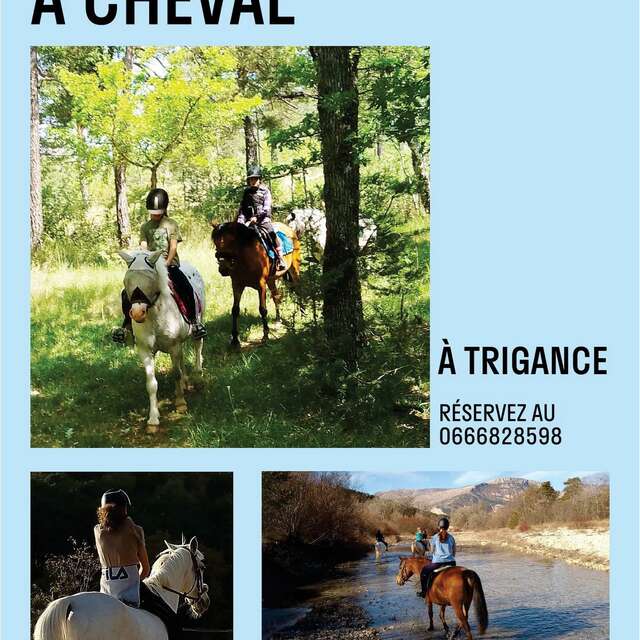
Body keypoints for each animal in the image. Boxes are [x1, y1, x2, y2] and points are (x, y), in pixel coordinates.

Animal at [118, 249, 206, 430]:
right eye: (126, 281)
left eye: (150, 280)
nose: (137, 313)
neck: (155, 315)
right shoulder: (145, 351)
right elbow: (151, 384)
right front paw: (153, 419)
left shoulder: (174, 346)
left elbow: (175, 374)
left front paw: (180, 403)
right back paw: (186, 382)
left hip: (199, 321)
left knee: (197, 346)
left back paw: (197, 375)